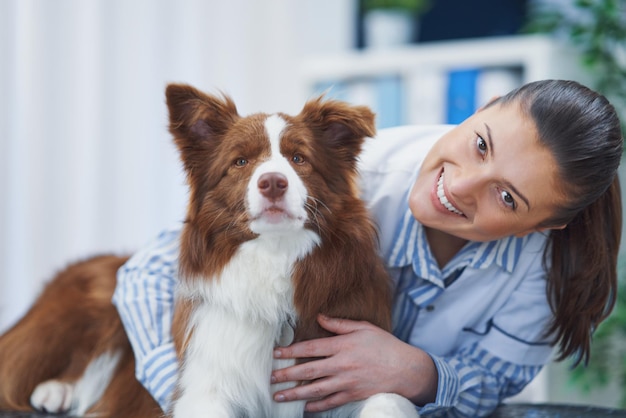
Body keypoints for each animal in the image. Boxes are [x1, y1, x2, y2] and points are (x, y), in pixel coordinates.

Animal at [2, 83, 420, 416]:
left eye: (299, 158)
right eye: (240, 161)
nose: (273, 182)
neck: (274, 257)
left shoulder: (352, 370)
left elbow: (387, 398)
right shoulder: (206, 388)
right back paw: (56, 390)